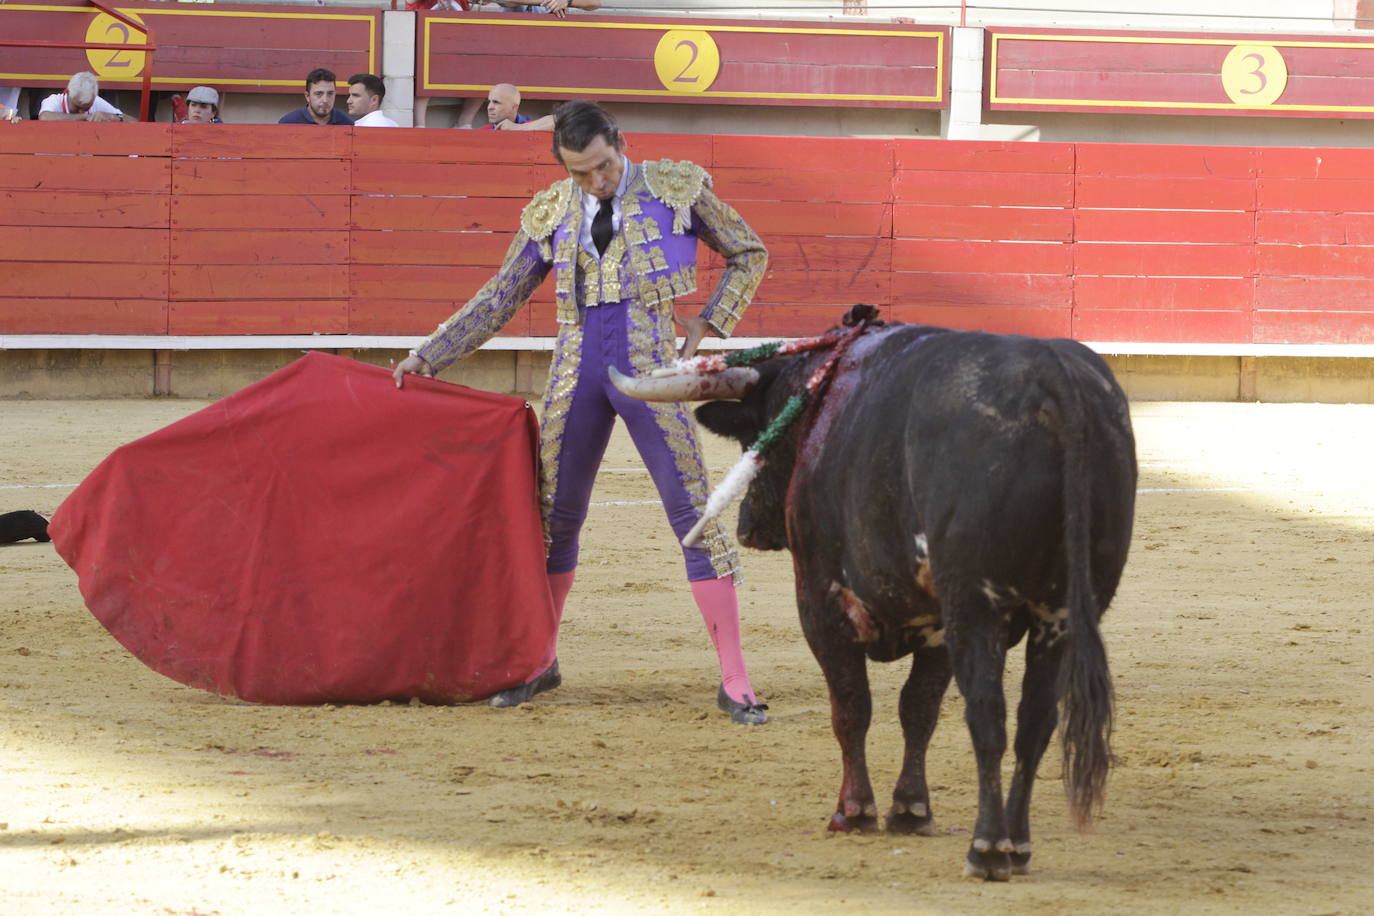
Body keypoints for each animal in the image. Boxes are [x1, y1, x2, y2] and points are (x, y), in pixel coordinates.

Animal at [612, 310, 1137, 878]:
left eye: (761, 430)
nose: (748, 526)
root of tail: (1053, 379)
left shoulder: (821, 604)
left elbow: (851, 707)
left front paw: (855, 811)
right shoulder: (938, 628)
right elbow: (918, 709)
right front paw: (910, 809)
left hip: (976, 606)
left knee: (987, 715)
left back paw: (987, 847)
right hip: (1060, 615)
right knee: (1035, 720)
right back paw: (1016, 846)